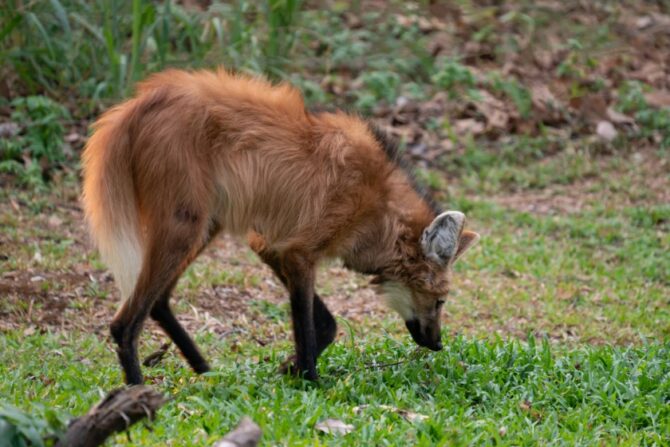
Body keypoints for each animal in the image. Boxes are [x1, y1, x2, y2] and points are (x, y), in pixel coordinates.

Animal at [82, 69, 484, 384]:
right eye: (441, 301)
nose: (438, 343)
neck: (381, 207)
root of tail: (136, 105)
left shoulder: (270, 244)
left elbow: (325, 324)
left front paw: (289, 369)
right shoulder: (299, 251)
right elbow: (309, 326)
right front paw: (310, 381)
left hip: (204, 224)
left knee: (160, 300)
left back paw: (205, 371)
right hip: (184, 225)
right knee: (125, 322)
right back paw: (138, 395)